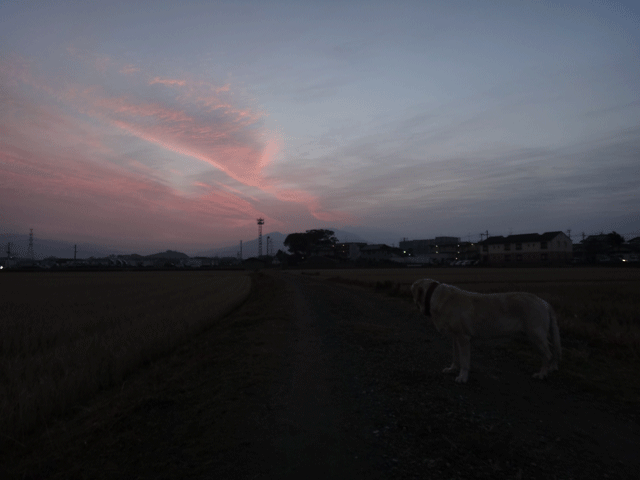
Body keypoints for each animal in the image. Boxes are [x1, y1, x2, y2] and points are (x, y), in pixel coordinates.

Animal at [410, 278, 560, 382]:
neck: (435, 296)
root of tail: (544, 302)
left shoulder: (463, 338)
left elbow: (464, 360)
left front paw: (462, 377)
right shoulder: (455, 337)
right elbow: (455, 355)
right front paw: (452, 368)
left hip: (535, 335)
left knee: (548, 354)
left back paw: (542, 374)